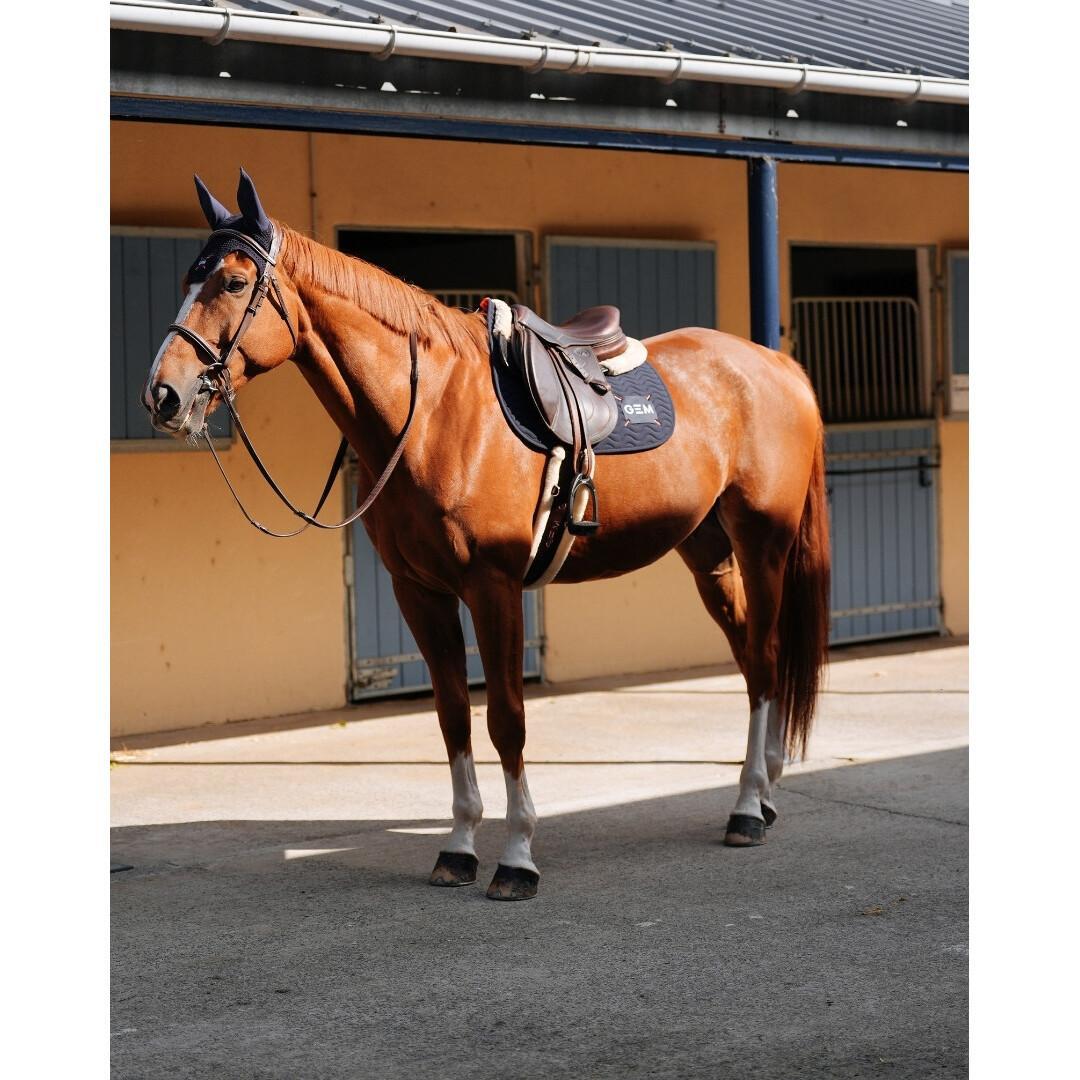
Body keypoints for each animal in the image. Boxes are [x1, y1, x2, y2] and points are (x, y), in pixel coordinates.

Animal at [143, 170, 831, 901]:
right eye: (189, 277)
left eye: (233, 282)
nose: (163, 395)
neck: (433, 415)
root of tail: (777, 366)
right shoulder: (420, 592)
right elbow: (452, 716)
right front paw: (459, 848)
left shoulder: (493, 587)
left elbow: (506, 719)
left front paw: (518, 858)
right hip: (707, 553)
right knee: (751, 657)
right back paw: (764, 793)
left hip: (762, 543)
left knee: (765, 660)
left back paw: (747, 808)